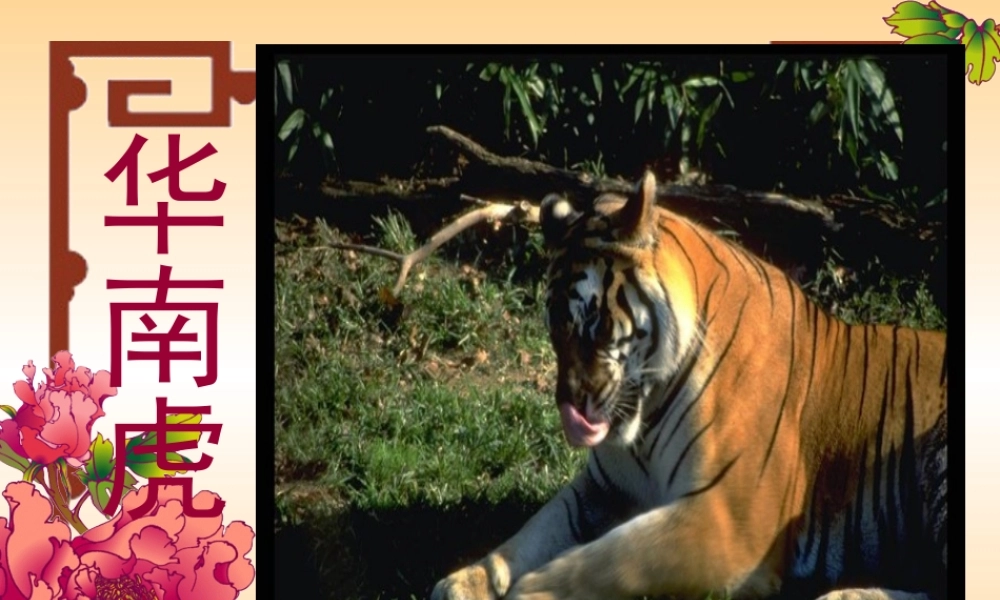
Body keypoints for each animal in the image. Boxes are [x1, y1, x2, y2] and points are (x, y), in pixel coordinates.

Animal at [430, 172, 948, 600]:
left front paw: (532, 591)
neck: (646, 414)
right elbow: (529, 535)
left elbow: (614, 557)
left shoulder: (730, 517)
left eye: (595, 323)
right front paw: (465, 582)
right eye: (555, 327)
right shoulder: (599, 490)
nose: (569, 407)